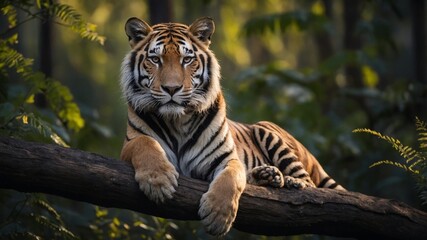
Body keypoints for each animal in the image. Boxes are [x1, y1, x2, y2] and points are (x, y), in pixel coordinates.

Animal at [118, 16, 346, 236]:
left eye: (187, 59)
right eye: (155, 59)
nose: (172, 88)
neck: (177, 120)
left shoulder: (226, 158)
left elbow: (231, 179)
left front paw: (218, 217)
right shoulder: (129, 144)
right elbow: (145, 143)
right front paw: (159, 182)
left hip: (266, 128)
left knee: (311, 185)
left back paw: (292, 182)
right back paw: (267, 175)